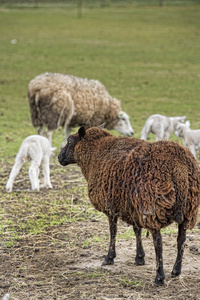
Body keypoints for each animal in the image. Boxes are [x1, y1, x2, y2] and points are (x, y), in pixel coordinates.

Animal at [57, 125, 200, 284]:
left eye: (70, 140)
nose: (59, 157)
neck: (94, 153)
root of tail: (179, 168)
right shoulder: (132, 207)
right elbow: (137, 230)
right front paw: (139, 257)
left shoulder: (111, 207)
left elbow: (113, 231)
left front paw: (109, 257)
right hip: (189, 208)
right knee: (181, 240)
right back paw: (176, 271)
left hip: (153, 207)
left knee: (158, 242)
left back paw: (159, 276)